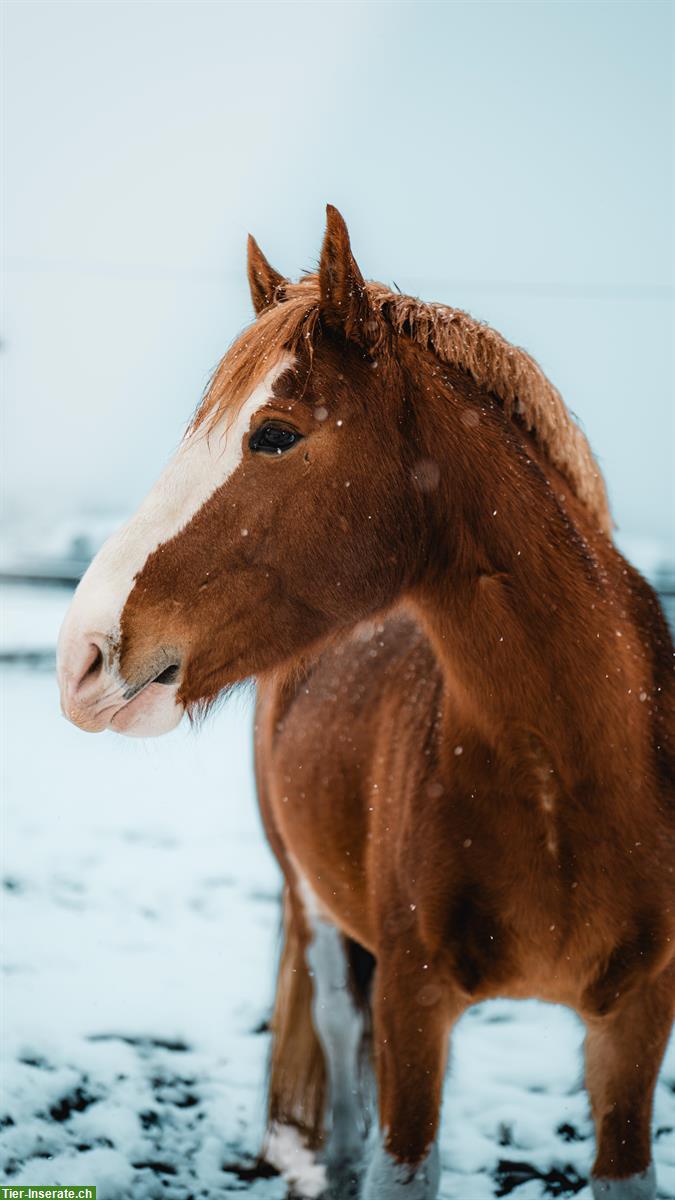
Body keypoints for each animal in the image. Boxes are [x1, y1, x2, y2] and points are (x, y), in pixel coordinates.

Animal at [57, 208, 672, 1200]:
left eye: (273, 434)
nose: (80, 656)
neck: (562, 775)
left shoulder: (638, 1020)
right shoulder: (412, 1004)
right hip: (312, 905)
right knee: (338, 1026)